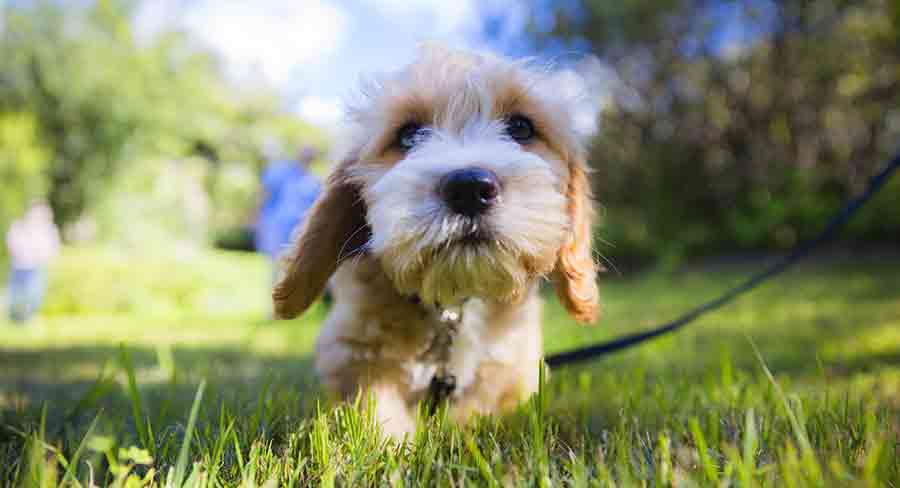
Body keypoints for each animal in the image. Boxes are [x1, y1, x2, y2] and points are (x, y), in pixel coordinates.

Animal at [272, 43, 596, 436]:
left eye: (521, 127)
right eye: (408, 135)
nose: (469, 188)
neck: (453, 305)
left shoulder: (514, 369)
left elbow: (481, 409)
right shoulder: (351, 348)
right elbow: (375, 406)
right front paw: (394, 442)